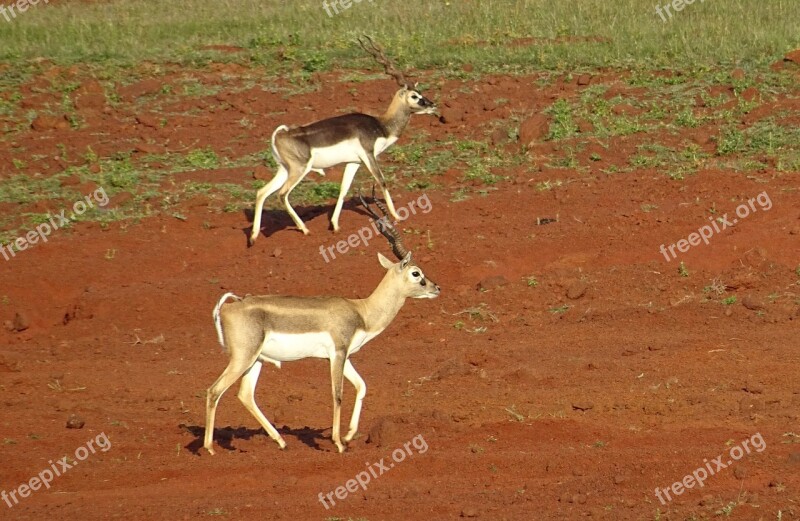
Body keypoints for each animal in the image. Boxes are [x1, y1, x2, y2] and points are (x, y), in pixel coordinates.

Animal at [250, 36, 438, 244]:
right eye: (415, 95)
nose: (432, 105)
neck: (381, 125)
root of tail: (280, 133)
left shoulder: (353, 162)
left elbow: (343, 190)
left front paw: (335, 225)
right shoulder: (368, 155)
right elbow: (382, 181)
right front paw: (397, 216)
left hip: (284, 169)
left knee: (261, 192)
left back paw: (253, 237)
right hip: (299, 169)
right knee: (282, 195)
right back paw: (305, 229)